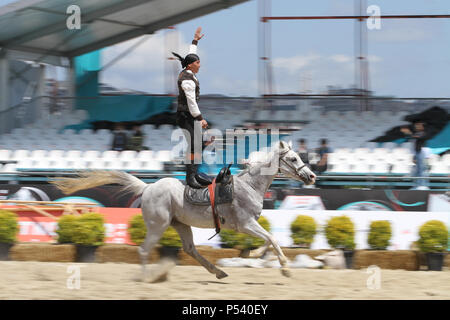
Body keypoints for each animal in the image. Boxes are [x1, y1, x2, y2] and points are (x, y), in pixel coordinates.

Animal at [53, 141, 316, 278]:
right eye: (293, 158)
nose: (312, 176)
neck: (249, 186)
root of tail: (148, 187)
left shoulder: (249, 225)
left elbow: (269, 239)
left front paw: (254, 254)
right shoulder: (245, 224)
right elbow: (272, 238)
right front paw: (285, 268)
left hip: (180, 225)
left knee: (190, 249)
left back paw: (218, 271)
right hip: (158, 226)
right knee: (144, 250)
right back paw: (147, 278)